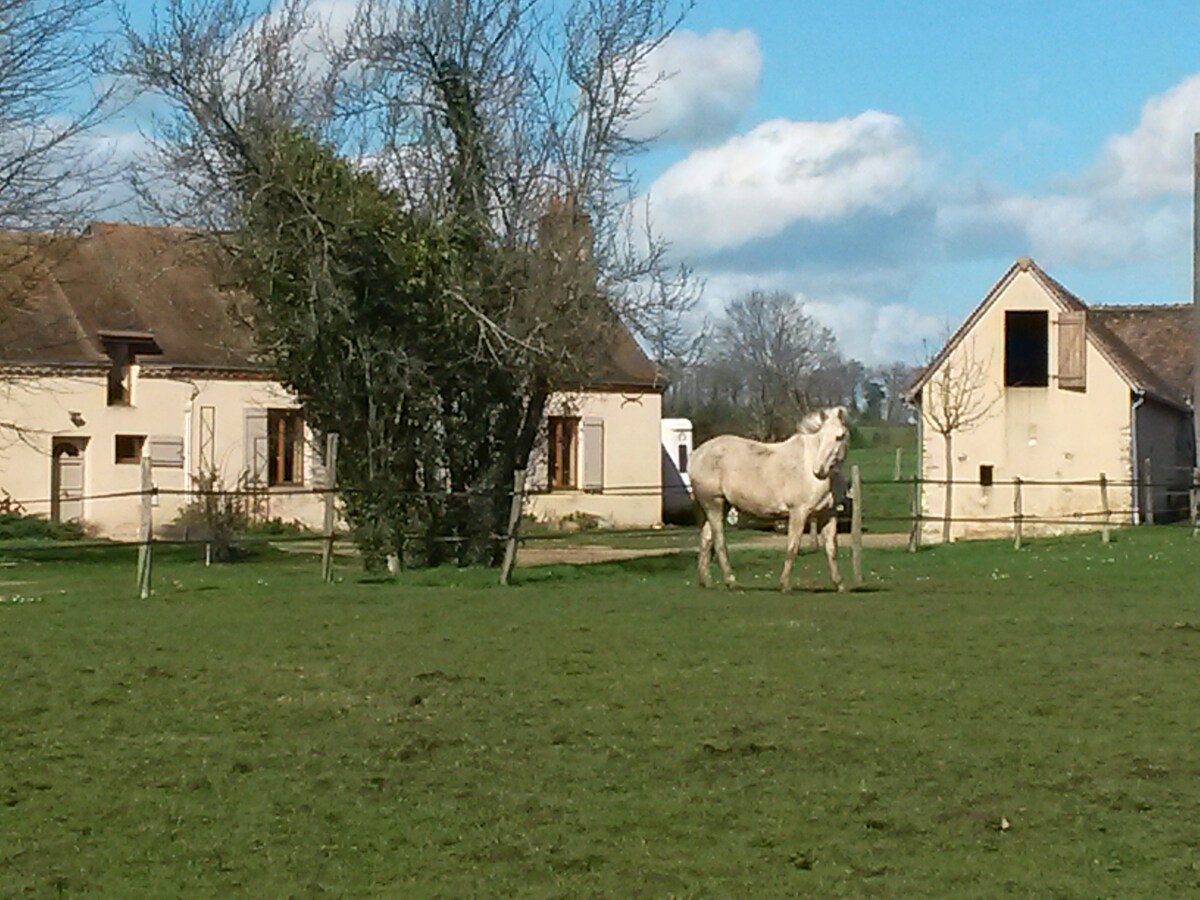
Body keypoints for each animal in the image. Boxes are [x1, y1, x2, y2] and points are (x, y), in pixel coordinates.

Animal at [691, 408, 849, 592]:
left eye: (839, 436)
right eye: (820, 437)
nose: (819, 470)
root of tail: (696, 455)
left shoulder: (828, 514)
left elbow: (831, 549)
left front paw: (840, 584)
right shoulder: (799, 512)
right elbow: (793, 547)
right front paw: (785, 585)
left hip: (718, 507)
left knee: (706, 540)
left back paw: (706, 582)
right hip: (714, 504)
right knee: (718, 542)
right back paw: (730, 581)